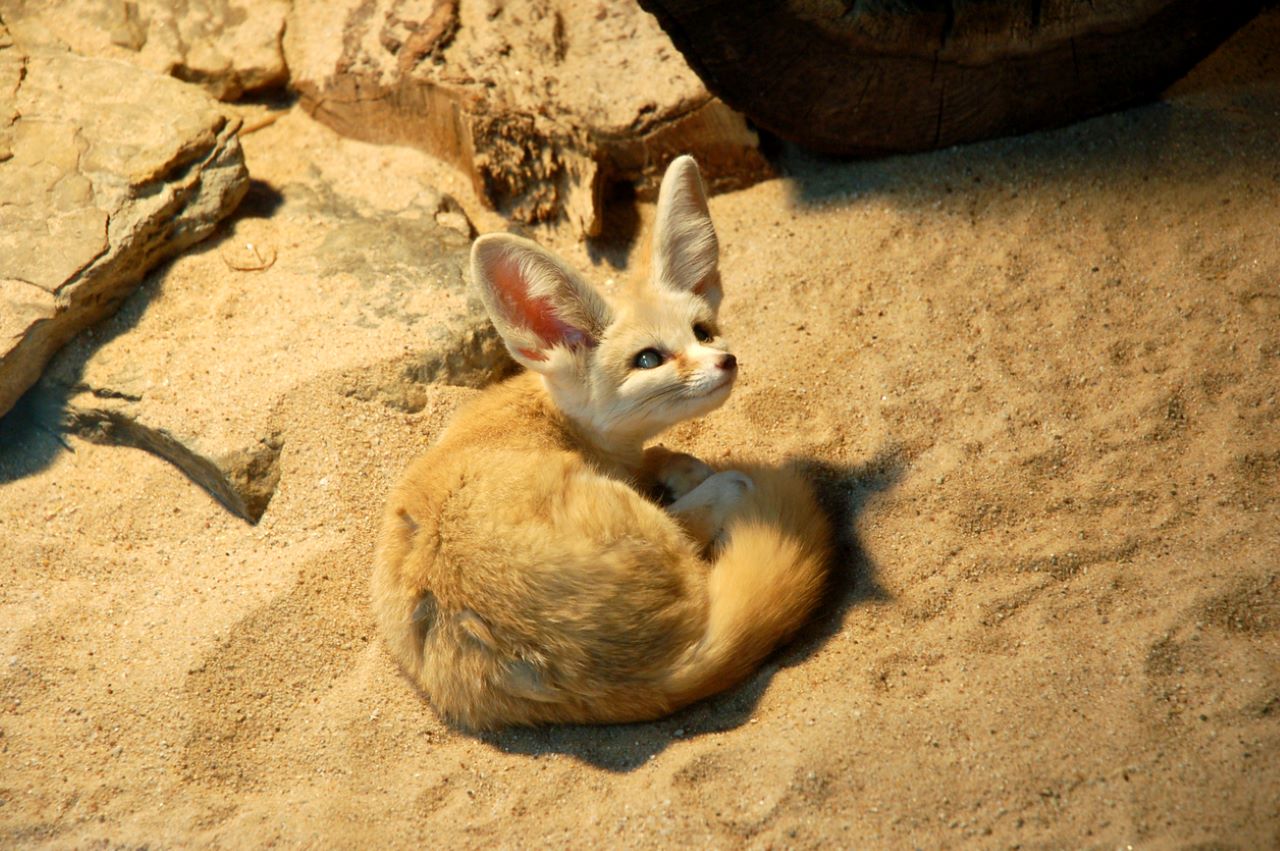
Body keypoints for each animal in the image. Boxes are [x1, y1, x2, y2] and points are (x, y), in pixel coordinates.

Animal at [371, 156, 829, 726]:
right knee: (715, 506)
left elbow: (658, 457)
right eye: (649, 359)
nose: (726, 361)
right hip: (658, 534)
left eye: (703, 331)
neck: (552, 415)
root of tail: (655, 677)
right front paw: (694, 473)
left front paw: (674, 464)